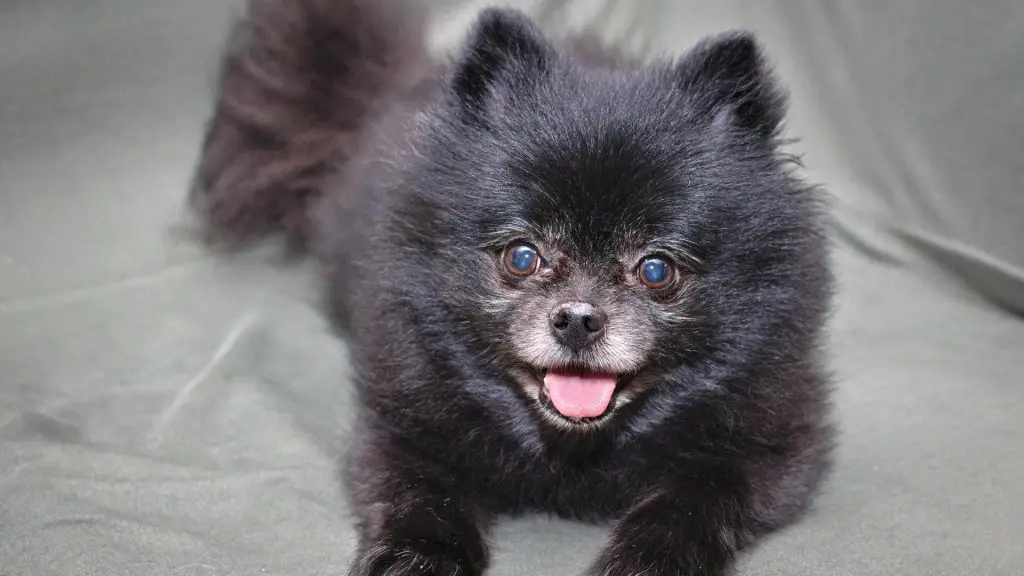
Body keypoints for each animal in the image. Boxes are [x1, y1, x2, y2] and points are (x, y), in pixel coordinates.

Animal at [188, 2, 835, 569]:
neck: (572, 454)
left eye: (655, 270)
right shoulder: (401, 428)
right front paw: (417, 559)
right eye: (523, 257)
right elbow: (422, 495)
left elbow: (689, 505)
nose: (578, 318)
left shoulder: (771, 450)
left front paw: (647, 561)